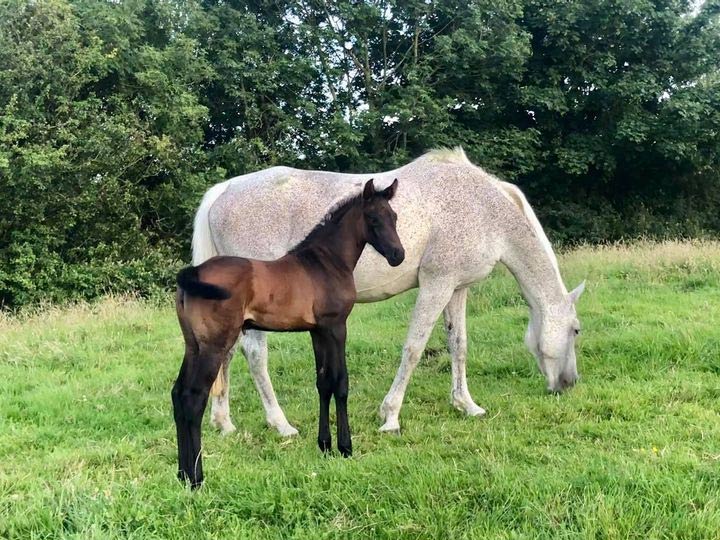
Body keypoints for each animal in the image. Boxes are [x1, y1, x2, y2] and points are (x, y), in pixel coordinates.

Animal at [172, 178, 402, 490]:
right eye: (374, 219)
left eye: (394, 217)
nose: (398, 255)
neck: (326, 262)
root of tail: (193, 272)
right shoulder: (336, 327)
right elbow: (341, 383)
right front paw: (345, 447)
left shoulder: (318, 332)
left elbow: (323, 383)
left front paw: (324, 445)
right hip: (214, 346)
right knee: (193, 399)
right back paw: (196, 478)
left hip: (193, 345)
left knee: (177, 394)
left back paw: (182, 473)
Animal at [191, 148, 584, 434]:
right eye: (576, 330)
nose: (569, 384)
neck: (483, 208)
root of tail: (224, 191)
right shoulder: (436, 284)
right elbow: (414, 347)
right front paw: (390, 416)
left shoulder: (456, 288)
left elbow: (458, 345)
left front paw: (467, 405)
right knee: (255, 355)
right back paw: (281, 424)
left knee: (225, 352)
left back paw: (224, 424)